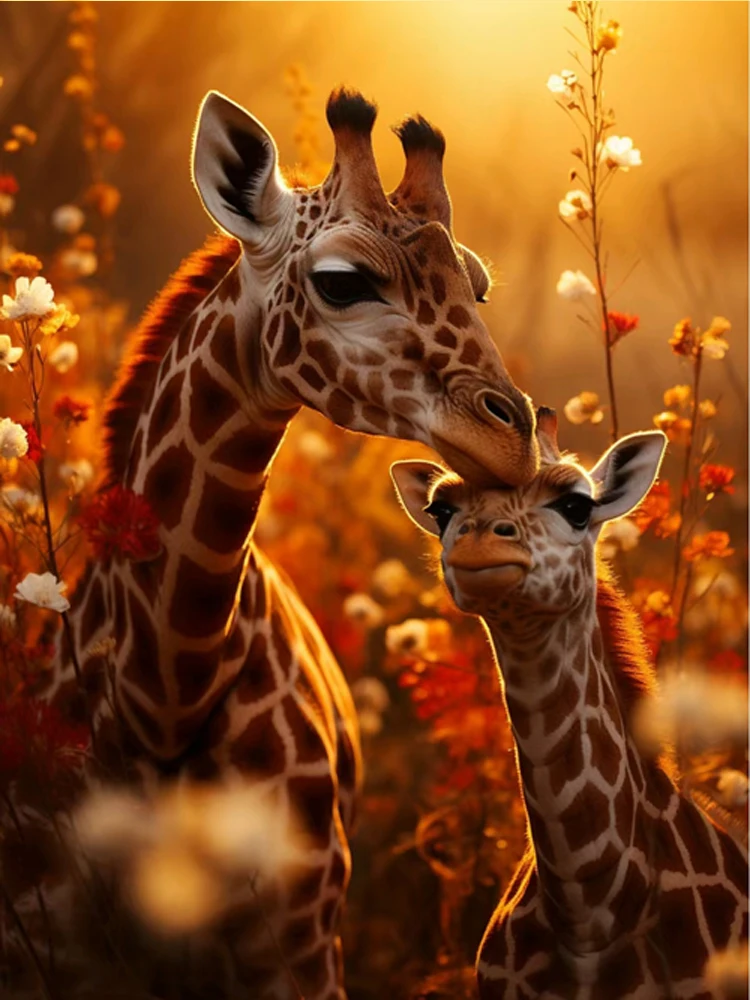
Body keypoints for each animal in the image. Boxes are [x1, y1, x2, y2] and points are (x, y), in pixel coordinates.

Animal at [29, 89, 541, 999]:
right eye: (343, 282)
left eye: (477, 285)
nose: (516, 439)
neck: (161, 698)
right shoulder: (58, 941)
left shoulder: (300, 943)